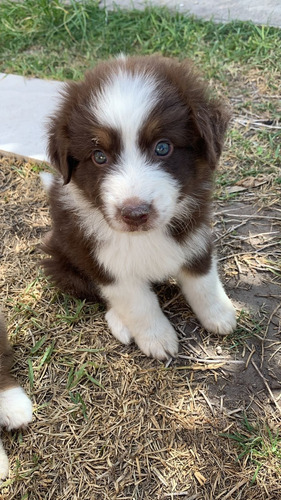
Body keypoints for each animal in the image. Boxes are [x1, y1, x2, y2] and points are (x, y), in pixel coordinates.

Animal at [40, 54, 235, 360]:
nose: (135, 214)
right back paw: (119, 323)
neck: (144, 237)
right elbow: (137, 302)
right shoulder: (103, 259)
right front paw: (157, 339)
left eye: (163, 147)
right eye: (99, 156)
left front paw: (219, 314)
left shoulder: (195, 233)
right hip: (61, 261)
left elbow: (202, 278)